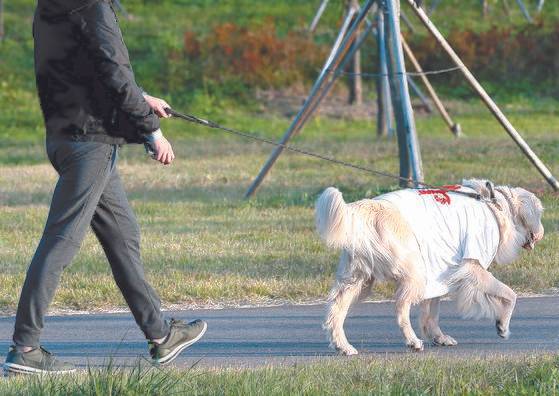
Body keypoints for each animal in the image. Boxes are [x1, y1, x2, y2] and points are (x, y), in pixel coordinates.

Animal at [318, 179, 544, 356]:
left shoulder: (439, 270)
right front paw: (502, 326)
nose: (542, 233)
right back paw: (412, 341)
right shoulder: (472, 266)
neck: (495, 206)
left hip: (357, 278)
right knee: (400, 309)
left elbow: (431, 312)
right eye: (540, 214)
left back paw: (343, 346)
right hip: (413, 271)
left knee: (335, 309)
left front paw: (438, 337)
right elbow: (510, 294)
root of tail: (369, 208)